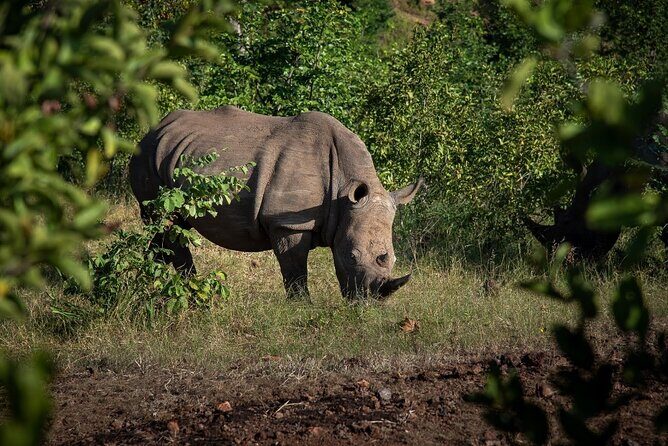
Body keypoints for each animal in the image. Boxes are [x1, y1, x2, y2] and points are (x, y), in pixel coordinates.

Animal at [130, 106, 423, 299]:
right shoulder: (288, 222)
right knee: (164, 221)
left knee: (168, 228)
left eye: (392, 259)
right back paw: (190, 291)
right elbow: (295, 271)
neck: (343, 189)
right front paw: (302, 307)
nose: (370, 302)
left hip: (170, 153)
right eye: (352, 256)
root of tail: (153, 130)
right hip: (147, 158)